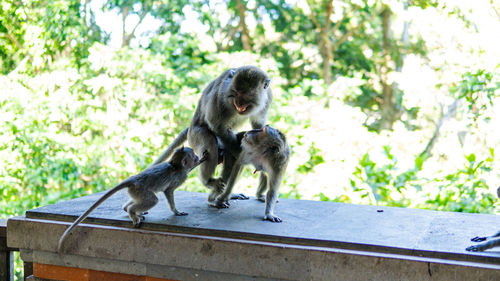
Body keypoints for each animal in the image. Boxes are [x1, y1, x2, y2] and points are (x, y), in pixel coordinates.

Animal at [57, 148, 206, 253]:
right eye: (193, 156)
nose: (196, 157)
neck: (175, 166)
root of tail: (133, 179)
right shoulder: (180, 176)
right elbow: (169, 191)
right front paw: (176, 211)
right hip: (140, 189)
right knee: (152, 200)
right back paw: (132, 212)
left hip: (135, 191)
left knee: (139, 200)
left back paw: (131, 211)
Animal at [152, 65, 272, 201]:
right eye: (235, 93)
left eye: (246, 95)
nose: (238, 103)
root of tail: (190, 128)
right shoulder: (221, 95)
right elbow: (216, 124)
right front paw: (238, 151)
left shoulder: (267, 97)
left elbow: (258, 125)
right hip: (194, 136)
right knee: (209, 139)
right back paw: (209, 182)